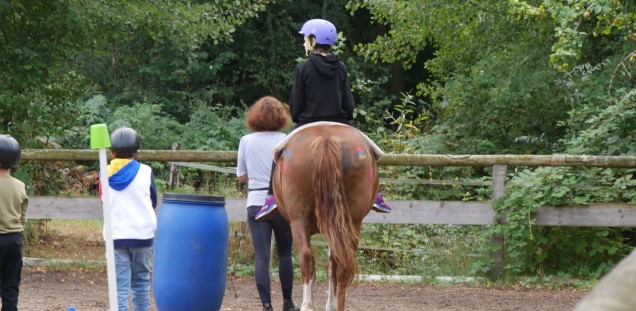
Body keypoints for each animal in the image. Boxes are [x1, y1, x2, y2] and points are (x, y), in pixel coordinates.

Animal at [272, 123, 380, 311]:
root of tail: (326, 138)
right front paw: (331, 303)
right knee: (341, 264)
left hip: (298, 221)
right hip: (353, 222)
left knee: (307, 258)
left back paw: (308, 305)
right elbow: (332, 264)